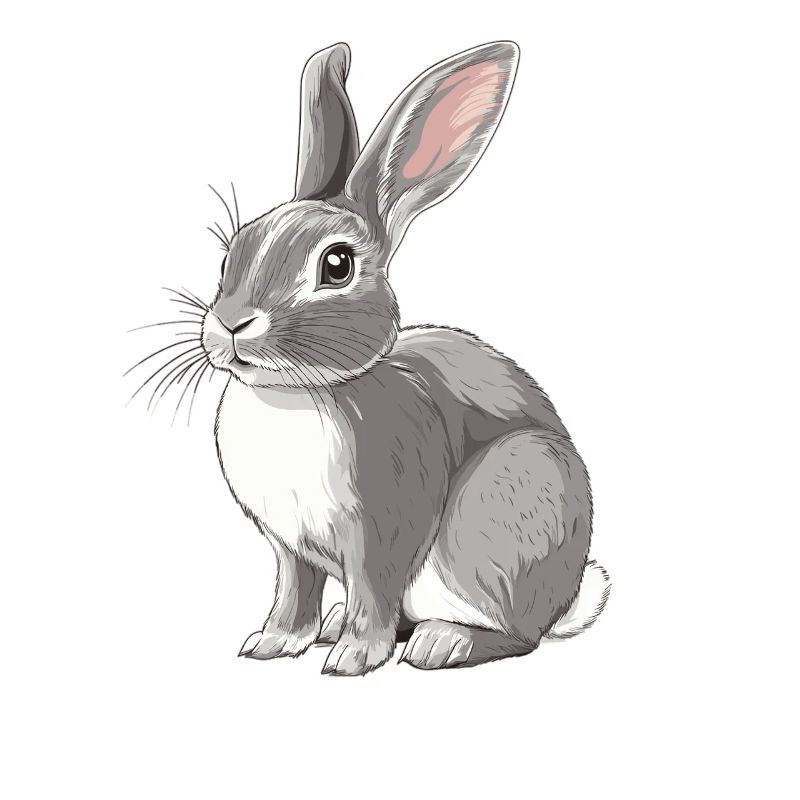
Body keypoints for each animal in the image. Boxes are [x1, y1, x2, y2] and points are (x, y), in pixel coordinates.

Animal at [201, 41, 610, 676]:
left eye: (337, 265)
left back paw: (442, 643)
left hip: (494, 517)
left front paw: (352, 659)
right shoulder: (289, 548)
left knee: (517, 635)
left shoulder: (384, 532)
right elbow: (294, 592)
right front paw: (271, 643)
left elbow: (374, 591)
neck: (294, 394)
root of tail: (564, 600)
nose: (231, 324)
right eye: (230, 255)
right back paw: (339, 626)